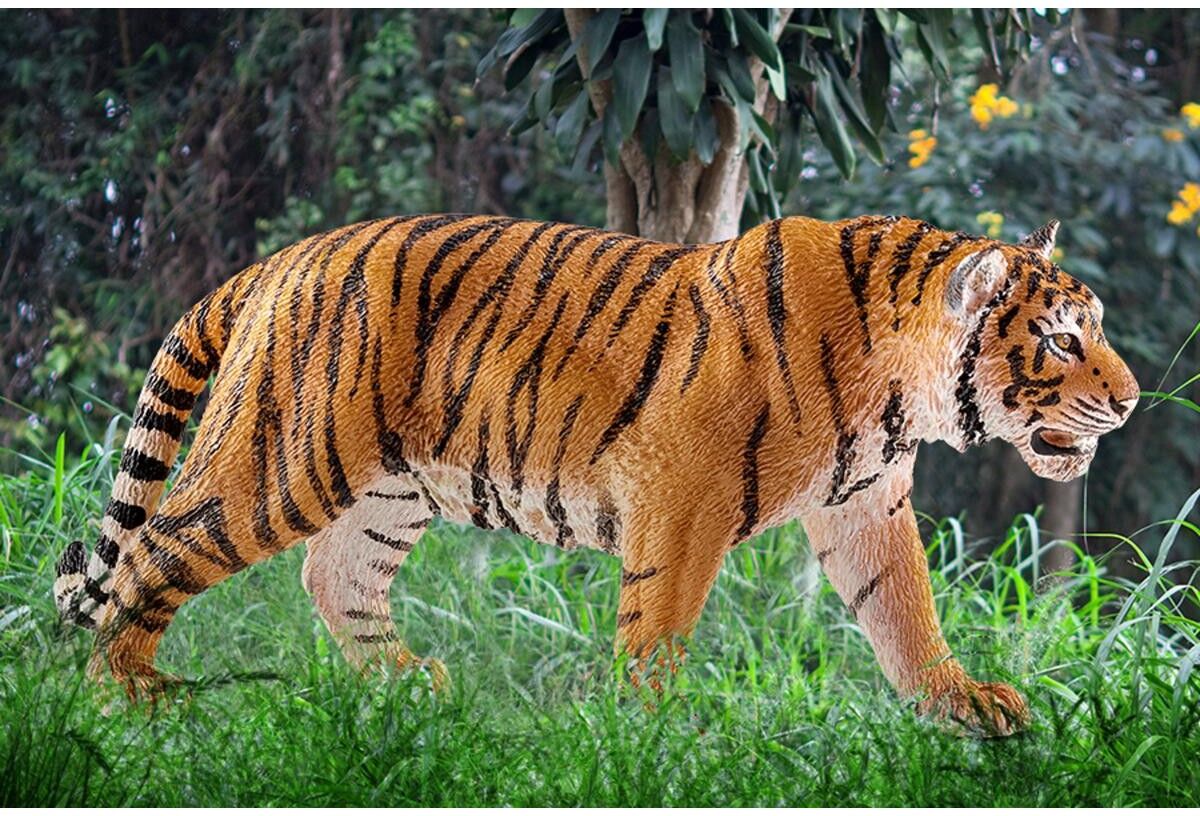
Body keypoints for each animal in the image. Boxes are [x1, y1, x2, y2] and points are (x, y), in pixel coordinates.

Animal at [53, 213, 1138, 735]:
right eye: (1060, 339)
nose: (1131, 401)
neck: (901, 390)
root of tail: (277, 261)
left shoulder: (866, 506)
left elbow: (905, 612)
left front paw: (960, 706)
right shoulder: (683, 498)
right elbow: (657, 625)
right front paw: (652, 740)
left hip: (390, 488)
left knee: (335, 575)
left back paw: (411, 690)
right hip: (286, 461)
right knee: (155, 549)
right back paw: (127, 699)